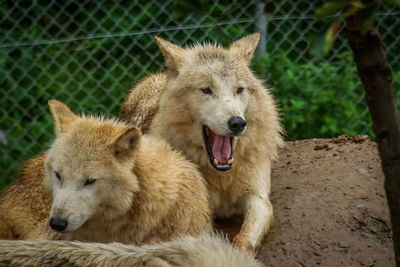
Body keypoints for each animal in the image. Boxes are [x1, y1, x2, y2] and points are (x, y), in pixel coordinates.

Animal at [119, 33, 284, 253]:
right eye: (206, 90)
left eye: (239, 89)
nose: (237, 123)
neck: (222, 177)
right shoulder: (199, 209)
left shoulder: (259, 199)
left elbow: (245, 239)